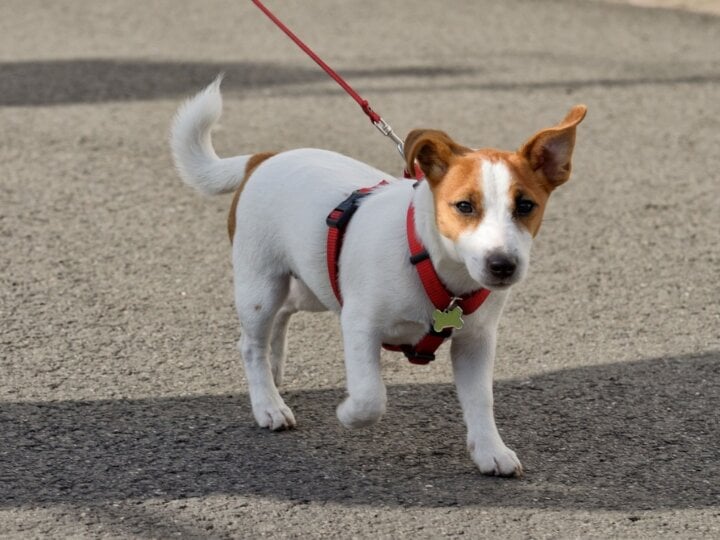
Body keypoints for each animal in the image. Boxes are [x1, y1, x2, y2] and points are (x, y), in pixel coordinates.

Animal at [170, 77, 584, 476]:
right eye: (464, 206)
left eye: (526, 206)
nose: (502, 265)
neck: (431, 263)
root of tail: (264, 159)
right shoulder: (359, 324)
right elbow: (371, 396)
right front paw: (348, 413)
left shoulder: (476, 341)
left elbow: (481, 398)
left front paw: (490, 451)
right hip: (261, 285)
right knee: (251, 343)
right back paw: (268, 404)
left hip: (315, 282)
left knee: (285, 312)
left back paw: (275, 370)